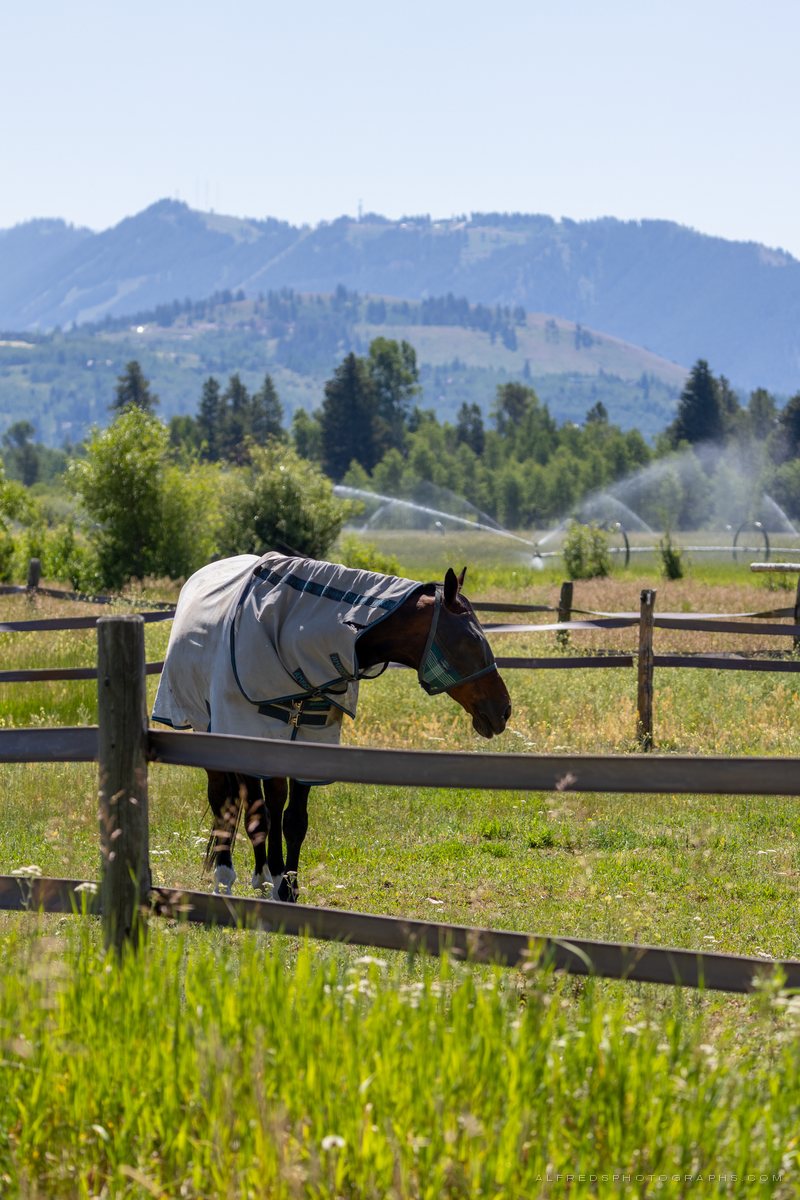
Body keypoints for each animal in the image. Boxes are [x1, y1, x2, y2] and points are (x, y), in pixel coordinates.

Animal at [152, 551, 511, 901]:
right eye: (470, 640)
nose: (503, 709)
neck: (290, 636)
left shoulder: (311, 740)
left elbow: (294, 821)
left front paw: (287, 888)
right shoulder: (244, 738)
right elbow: (256, 818)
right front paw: (266, 885)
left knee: (272, 801)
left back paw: (267, 873)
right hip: (210, 732)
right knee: (224, 801)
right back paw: (226, 877)